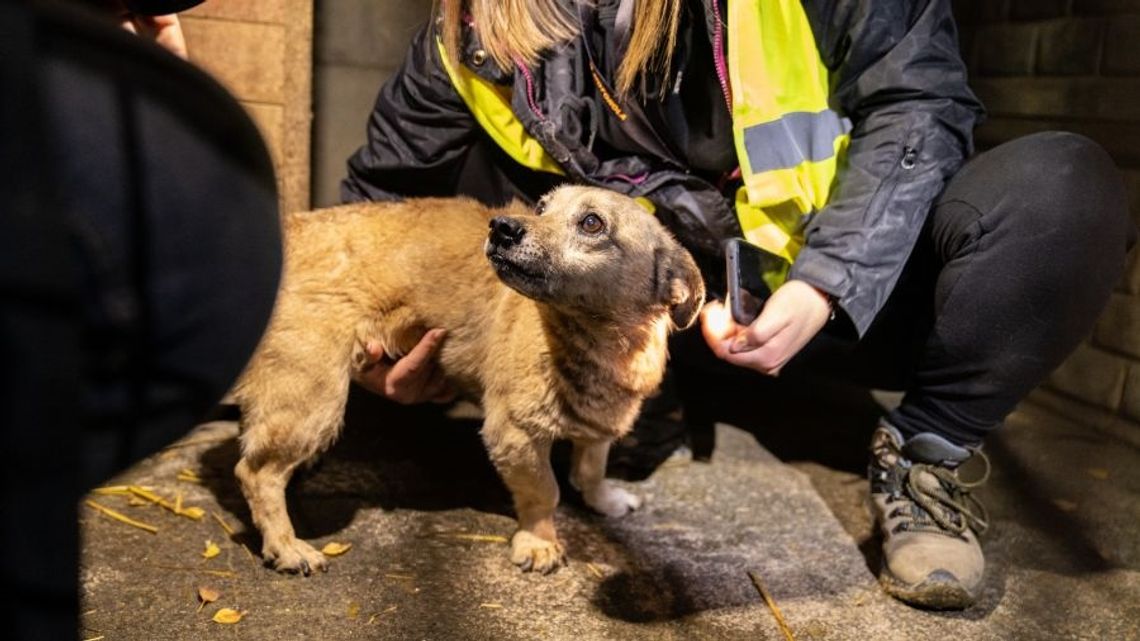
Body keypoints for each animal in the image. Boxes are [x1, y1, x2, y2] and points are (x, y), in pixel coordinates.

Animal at [231, 184, 702, 574]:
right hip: (314, 400)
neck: (599, 343)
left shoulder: (598, 426)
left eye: (592, 223)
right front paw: (538, 543)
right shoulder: (513, 434)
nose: (503, 228)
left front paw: (606, 501)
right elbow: (544, 491)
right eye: (541, 207)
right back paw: (287, 547)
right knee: (256, 472)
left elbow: (590, 471)